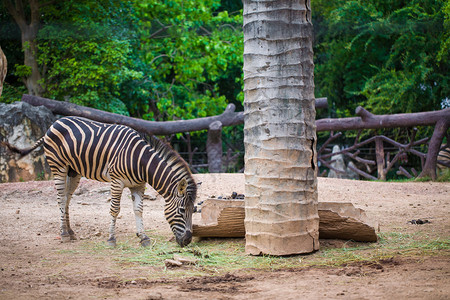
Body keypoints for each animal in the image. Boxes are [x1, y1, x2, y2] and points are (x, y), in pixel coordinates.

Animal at [1, 116, 196, 247]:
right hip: (58, 166)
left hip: (73, 171)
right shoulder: (117, 181)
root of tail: (54, 123)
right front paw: (111, 239)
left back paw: (71, 232)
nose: (187, 241)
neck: (140, 162)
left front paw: (144, 237)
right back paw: (63, 234)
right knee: (60, 199)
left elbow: (139, 210)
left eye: (193, 210)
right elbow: (115, 210)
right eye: (181, 210)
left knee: (67, 199)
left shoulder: (138, 185)